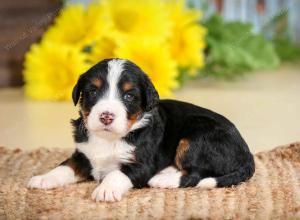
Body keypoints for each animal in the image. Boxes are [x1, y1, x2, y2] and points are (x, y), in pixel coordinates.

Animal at [28, 58, 254, 201]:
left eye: (129, 96)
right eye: (93, 91)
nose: (106, 116)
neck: (109, 139)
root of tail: (247, 152)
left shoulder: (141, 163)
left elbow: (116, 174)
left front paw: (106, 190)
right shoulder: (83, 155)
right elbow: (64, 167)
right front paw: (43, 178)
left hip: (195, 138)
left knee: (196, 174)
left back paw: (163, 179)